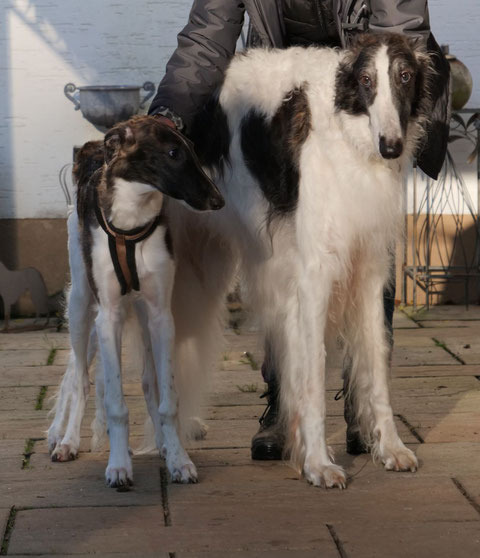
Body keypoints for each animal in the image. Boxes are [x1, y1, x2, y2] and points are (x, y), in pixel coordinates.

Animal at [47, 116, 224, 488]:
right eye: (172, 153)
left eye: (192, 149)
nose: (218, 200)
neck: (131, 221)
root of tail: (91, 149)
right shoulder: (108, 315)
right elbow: (115, 402)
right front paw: (118, 466)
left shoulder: (160, 315)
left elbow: (166, 398)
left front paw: (178, 459)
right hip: (82, 306)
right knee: (78, 376)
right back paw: (66, 440)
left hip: (139, 316)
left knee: (146, 381)